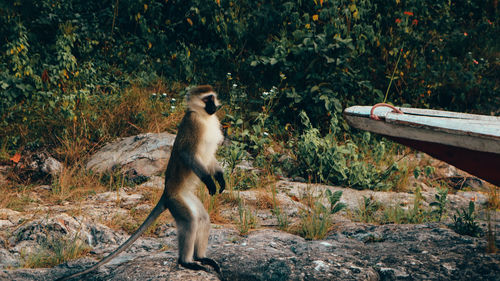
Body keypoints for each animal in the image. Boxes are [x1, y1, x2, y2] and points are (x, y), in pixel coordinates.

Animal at [56, 84, 225, 278]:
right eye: (206, 99)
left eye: (212, 97)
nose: (214, 107)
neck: (204, 117)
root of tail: (167, 193)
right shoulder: (193, 125)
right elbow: (187, 154)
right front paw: (209, 181)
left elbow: (209, 158)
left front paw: (220, 178)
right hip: (176, 200)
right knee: (190, 221)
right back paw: (186, 262)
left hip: (184, 198)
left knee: (202, 218)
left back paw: (200, 257)